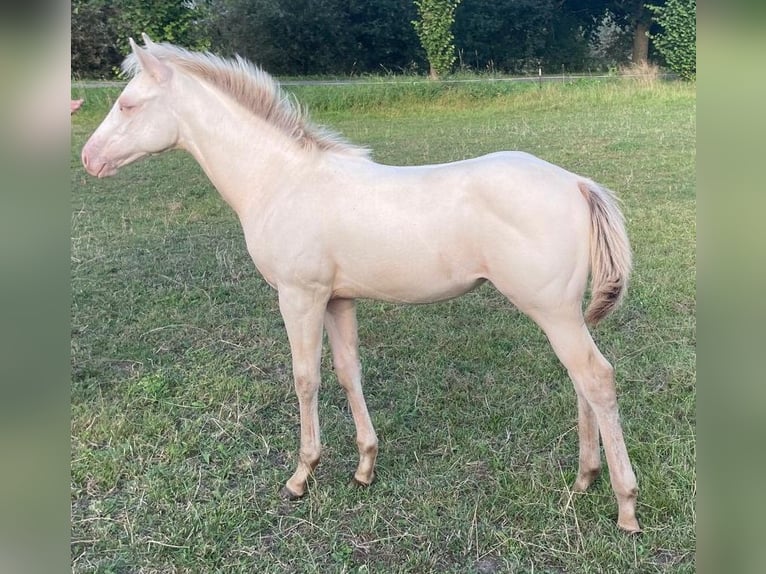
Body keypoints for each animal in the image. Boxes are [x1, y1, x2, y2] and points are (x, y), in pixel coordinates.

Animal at [81, 33, 640, 532]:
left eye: (128, 105)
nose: (89, 158)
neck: (281, 180)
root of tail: (576, 183)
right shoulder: (337, 300)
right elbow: (349, 372)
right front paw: (365, 466)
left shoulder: (299, 296)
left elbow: (306, 378)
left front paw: (301, 476)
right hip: (563, 313)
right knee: (580, 381)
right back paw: (584, 479)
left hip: (552, 311)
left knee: (596, 378)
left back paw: (626, 506)